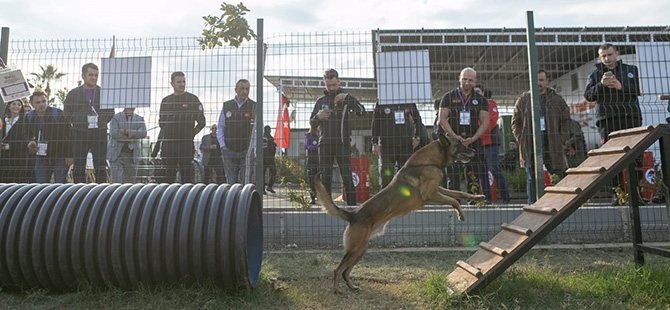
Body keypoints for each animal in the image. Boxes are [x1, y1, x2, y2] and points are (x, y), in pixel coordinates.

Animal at [318, 133, 486, 294]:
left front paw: (477, 197)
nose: (474, 150)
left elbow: (458, 193)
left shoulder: (437, 189)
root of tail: (352, 215)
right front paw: (461, 215)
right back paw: (337, 290)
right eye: (460, 144)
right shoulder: (430, 194)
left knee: (346, 271)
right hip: (355, 249)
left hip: (361, 249)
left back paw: (352, 287)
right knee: (338, 269)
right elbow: (454, 201)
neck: (429, 162)